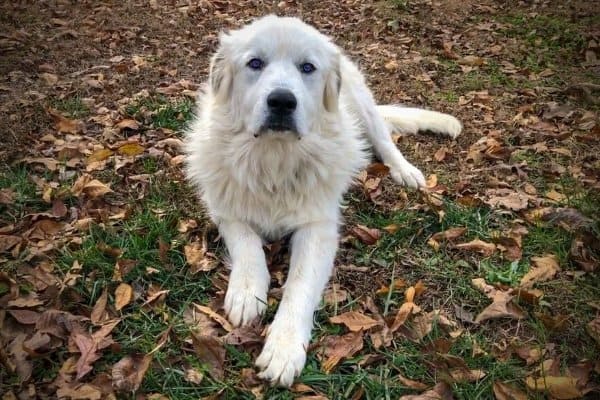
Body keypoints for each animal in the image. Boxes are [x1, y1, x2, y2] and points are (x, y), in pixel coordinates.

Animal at [185, 15, 462, 388]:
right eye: (255, 63)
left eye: (307, 68)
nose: (282, 101)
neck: (274, 159)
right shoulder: (225, 208)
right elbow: (246, 243)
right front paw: (246, 291)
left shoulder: (317, 228)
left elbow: (299, 286)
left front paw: (284, 348)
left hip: (363, 106)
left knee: (385, 142)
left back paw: (405, 171)